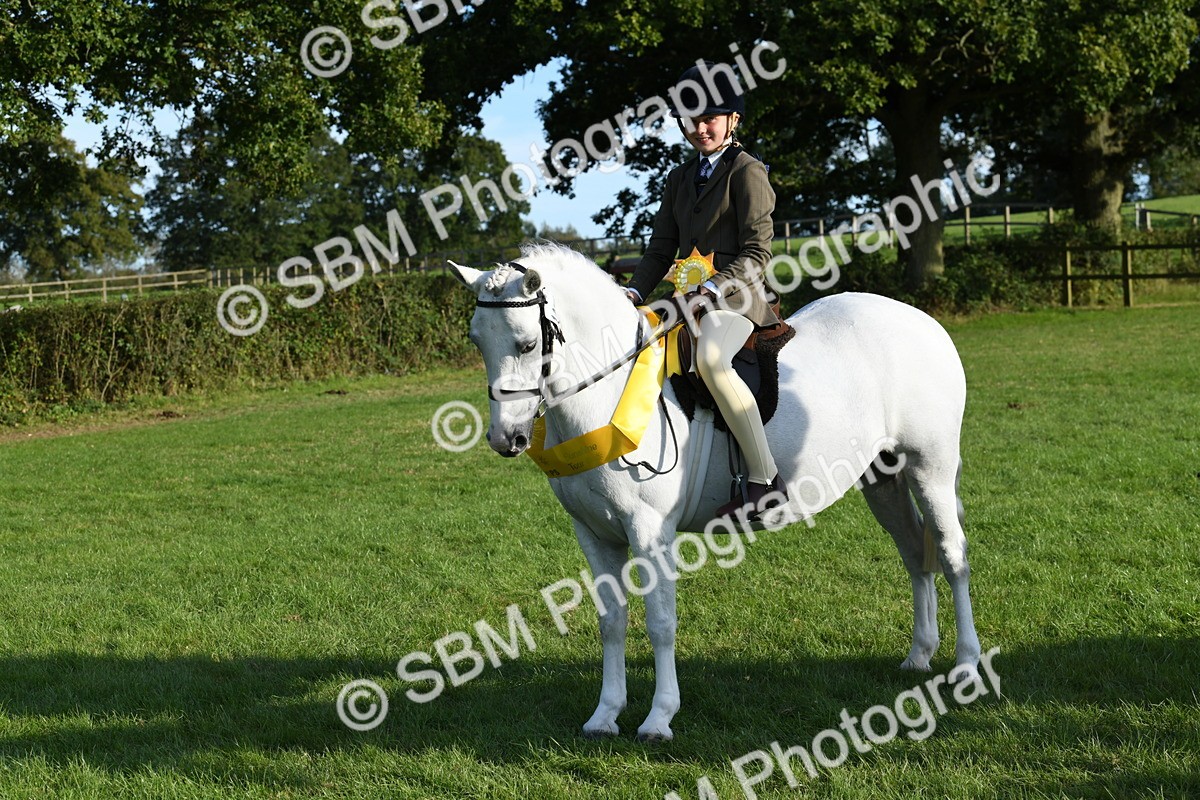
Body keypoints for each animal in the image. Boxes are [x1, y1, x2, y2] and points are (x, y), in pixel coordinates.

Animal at [448, 242, 981, 742]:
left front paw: (659, 718)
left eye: (526, 343)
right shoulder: (594, 534)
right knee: (914, 554)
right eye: (477, 340)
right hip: (884, 478)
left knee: (951, 555)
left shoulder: (650, 532)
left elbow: (661, 622)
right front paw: (605, 715)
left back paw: (966, 666)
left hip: (930, 468)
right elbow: (611, 621)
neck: (610, 395)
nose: (506, 439)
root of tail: (924, 323)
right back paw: (919, 656)